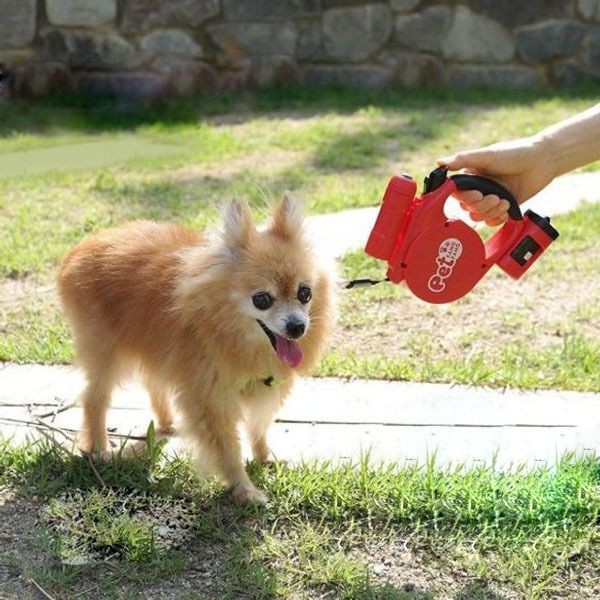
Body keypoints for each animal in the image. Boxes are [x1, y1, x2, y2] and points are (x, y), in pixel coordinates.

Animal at [58, 196, 336, 502]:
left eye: (305, 293)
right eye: (262, 300)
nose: (297, 326)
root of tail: (78, 250)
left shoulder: (263, 387)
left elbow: (258, 426)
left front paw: (264, 458)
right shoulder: (210, 400)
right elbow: (227, 448)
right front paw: (244, 490)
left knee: (153, 381)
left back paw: (166, 423)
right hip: (107, 352)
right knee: (94, 398)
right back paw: (99, 448)